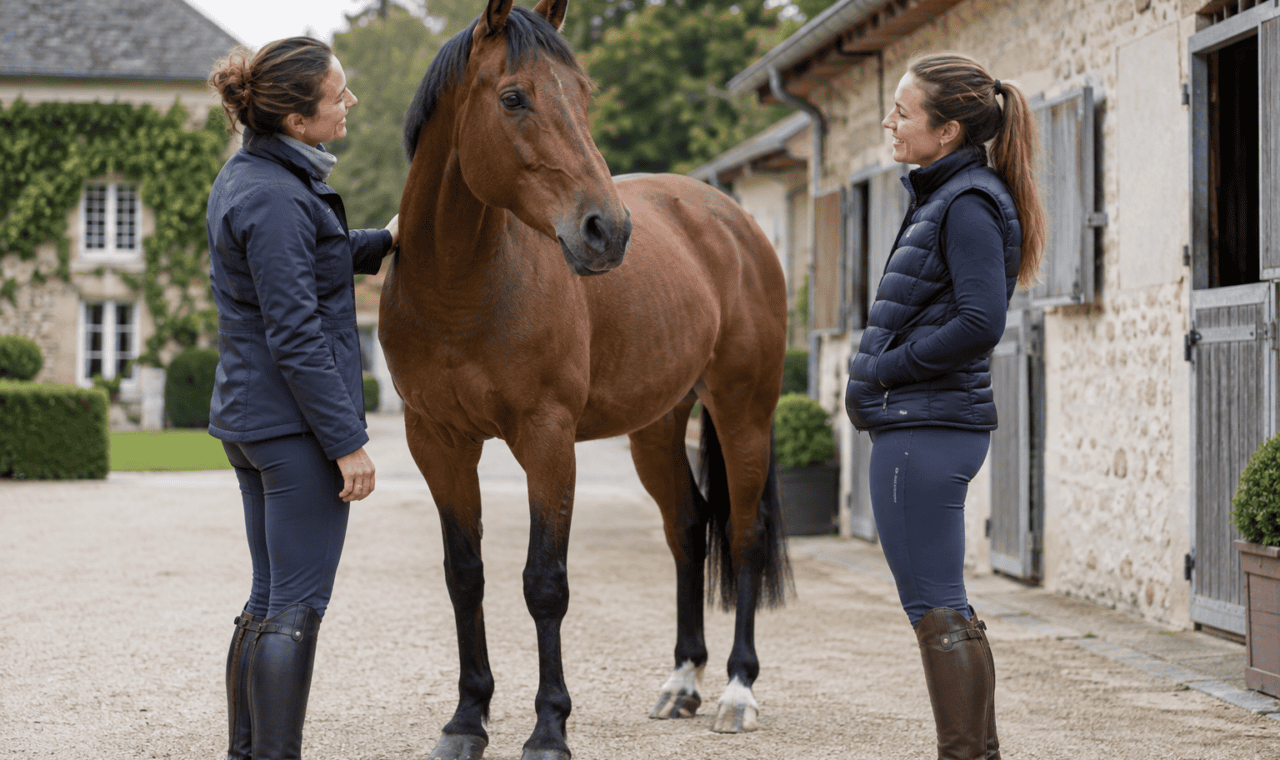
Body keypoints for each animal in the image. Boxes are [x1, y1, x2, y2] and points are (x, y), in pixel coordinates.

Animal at [379, 0, 790, 757]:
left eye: (584, 96)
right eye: (514, 97)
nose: (606, 230)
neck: (461, 288)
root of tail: (732, 221)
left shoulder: (547, 439)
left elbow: (545, 583)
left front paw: (548, 727)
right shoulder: (438, 443)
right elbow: (464, 577)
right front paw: (466, 720)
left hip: (743, 412)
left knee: (745, 534)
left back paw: (737, 691)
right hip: (657, 428)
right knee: (689, 527)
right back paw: (682, 683)